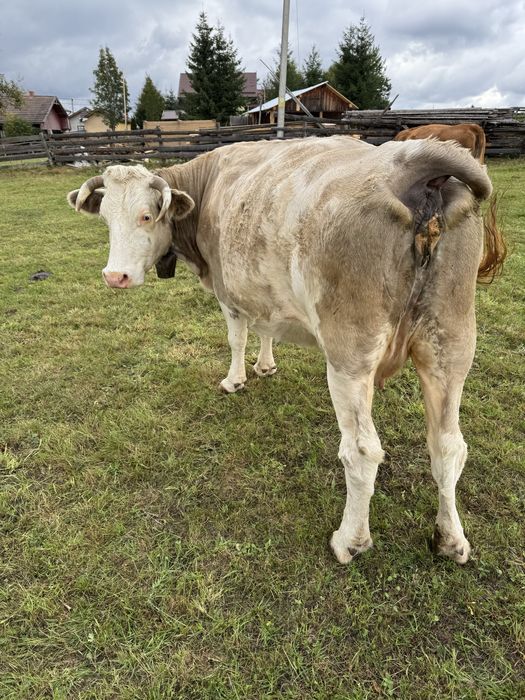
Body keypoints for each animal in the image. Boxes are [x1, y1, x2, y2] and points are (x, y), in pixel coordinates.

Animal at [68, 136, 505, 565]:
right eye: (105, 218)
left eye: (147, 216)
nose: (115, 276)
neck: (208, 186)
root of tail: (411, 162)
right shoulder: (262, 293)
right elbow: (265, 329)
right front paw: (265, 365)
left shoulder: (228, 293)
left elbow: (237, 337)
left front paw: (235, 380)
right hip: (450, 343)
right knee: (448, 446)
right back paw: (450, 539)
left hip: (350, 357)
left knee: (362, 451)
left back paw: (350, 540)